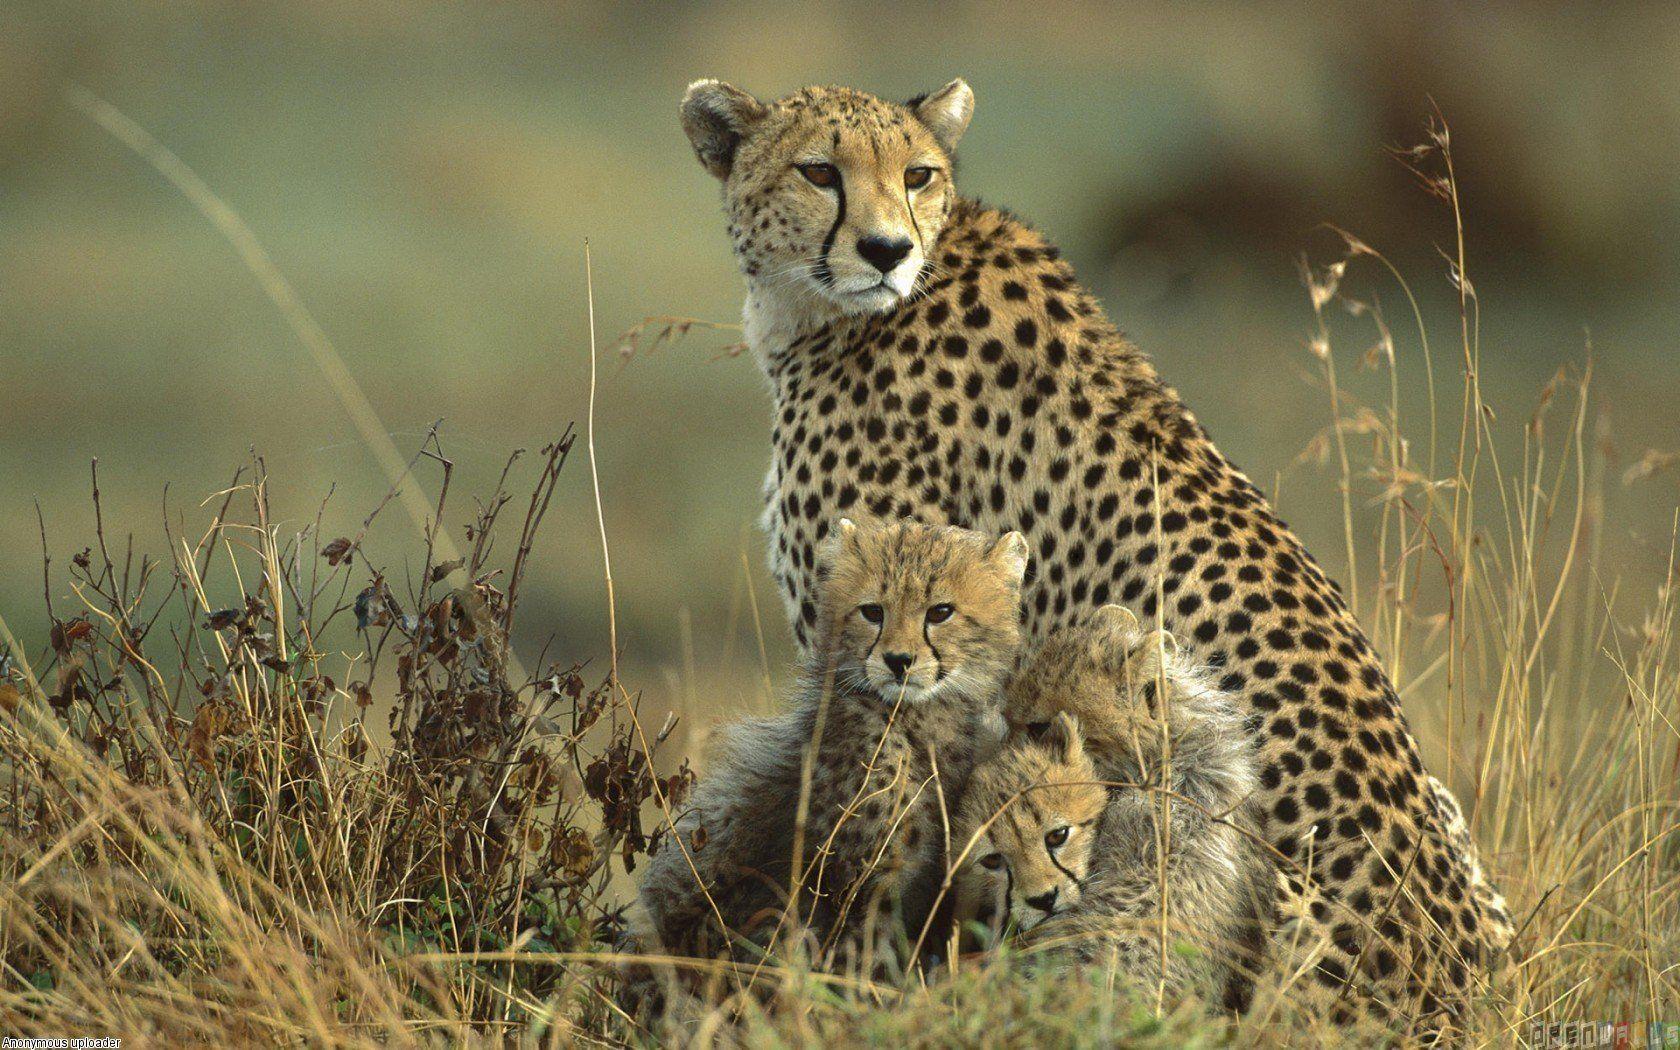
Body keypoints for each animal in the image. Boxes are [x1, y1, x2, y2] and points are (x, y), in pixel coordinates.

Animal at [630, 519, 1027, 999]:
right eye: (872, 612)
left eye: (940, 612)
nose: (898, 661)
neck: (918, 718)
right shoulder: (854, 888)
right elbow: (861, 966)